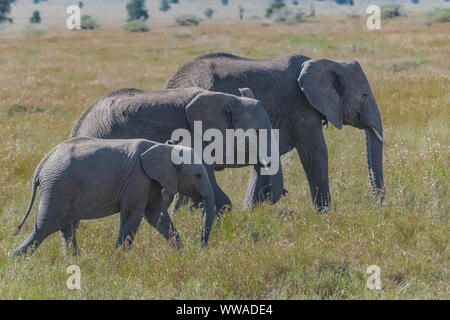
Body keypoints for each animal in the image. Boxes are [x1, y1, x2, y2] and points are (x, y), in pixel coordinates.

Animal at [10, 138, 214, 258]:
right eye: (198, 176)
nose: (201, 248)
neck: (165, 147)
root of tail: (42, 163)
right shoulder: (138, 178)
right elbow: (134, 215)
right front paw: (118, 259)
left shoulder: (151, 181)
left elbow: (157, 215)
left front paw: (180, 253)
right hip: (58, 186)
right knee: (46, 225)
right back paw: (15, 259)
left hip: (60, 188)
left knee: (63, 226)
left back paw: (73, 259)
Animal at [167, 53, 388, 211]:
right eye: (364, 96)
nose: (378, 206)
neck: (329, 62)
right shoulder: (300, 106)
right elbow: (314, 154)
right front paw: (325, 213)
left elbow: (263, 163)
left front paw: (250, 212)